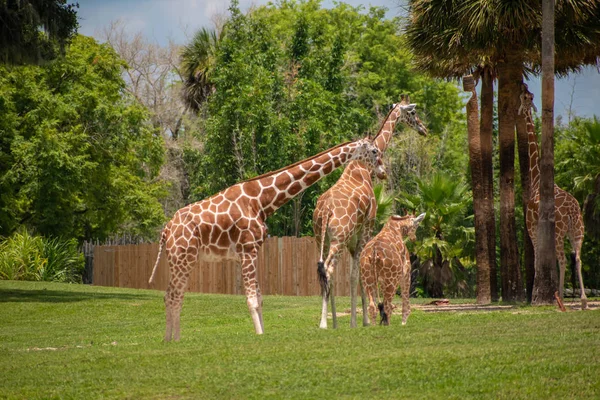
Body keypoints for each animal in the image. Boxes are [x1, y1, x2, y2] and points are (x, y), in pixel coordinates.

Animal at [149, 137, 384, 338]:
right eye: (374, 151)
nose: (382, 171)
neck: (261, 200)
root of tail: (166, 231)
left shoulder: (251, 251)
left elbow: (260, 298)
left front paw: (262, 333)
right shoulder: (248, 249)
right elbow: (252, 299)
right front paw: (259, 336)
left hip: (182, 260)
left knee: (171, 295)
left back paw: (171, 339)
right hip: (182, 258)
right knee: (173, 296)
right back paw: (173, 340)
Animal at [314, 95, 426, 330]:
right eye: (412, 113)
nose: (423, 128)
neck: (363, 168)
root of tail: (326, 210)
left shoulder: (352, 238)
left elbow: (354, 274)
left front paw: (349, 321)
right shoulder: (367, 226)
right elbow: (356, 274)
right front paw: (361, 321)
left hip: (321, 238)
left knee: (324, 272)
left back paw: (332, 322)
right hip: (337, 238)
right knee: (328, 269)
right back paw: (323, 323)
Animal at [516, 83, 588, 310]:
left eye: (526, 97)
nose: (524, 86)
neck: (537, 179)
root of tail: (573, 211)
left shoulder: (531, 228)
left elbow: (537, 258)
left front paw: (534, 296)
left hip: (558, 232)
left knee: (563, 258)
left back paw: (562, 298)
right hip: (577, 230)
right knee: (578, 258)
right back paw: (582, 300)